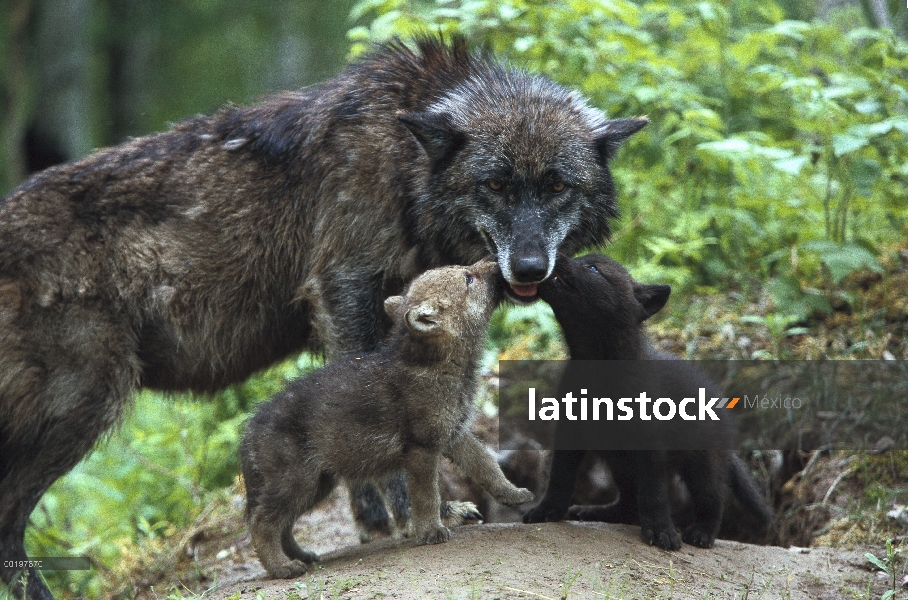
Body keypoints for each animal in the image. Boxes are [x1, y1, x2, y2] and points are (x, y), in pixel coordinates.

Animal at [0, 36, 644, 596]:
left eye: (556, 186)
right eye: (495, 185)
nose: (532, 266)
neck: (403, 165)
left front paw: (373, 519)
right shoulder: (345, 289)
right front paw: (417, 515)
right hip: (84, 407)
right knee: (10, 521)